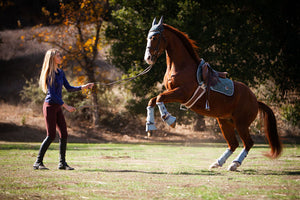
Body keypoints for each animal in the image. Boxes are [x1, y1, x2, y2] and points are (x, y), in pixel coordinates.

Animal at [144, 16, 282, 171]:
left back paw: (235, 163)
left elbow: (159, 98)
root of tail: (255, 100)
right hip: (224, 122)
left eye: (155, 37)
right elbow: (152, 100)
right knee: (233, 144)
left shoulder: (181, 93)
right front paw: (150, 126)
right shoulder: (173, 92)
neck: (182, 66)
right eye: (148, 37)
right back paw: (218, 162)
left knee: (248, 143)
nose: (148, 58)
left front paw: (169, 119)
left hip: (241, 124)